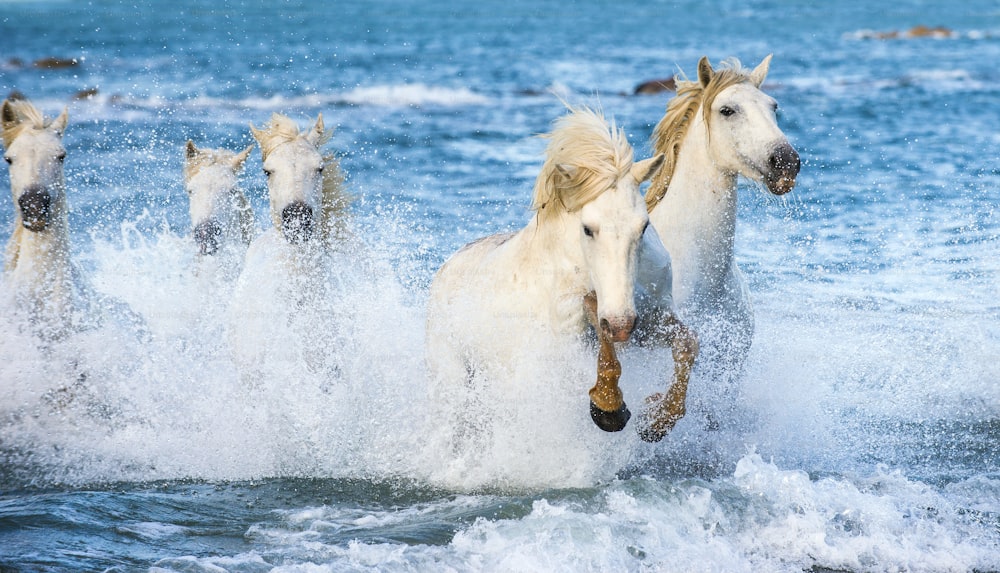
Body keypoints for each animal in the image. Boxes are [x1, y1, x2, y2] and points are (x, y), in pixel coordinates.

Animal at [428, 104, 696, 442]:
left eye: (644, 226)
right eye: (588, 228)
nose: (621, 324)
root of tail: (446, 268)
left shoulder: (651, 323)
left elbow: (687, 343)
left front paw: (658, 419)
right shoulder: (571, 338)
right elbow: (604, 349)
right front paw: (608, 407)